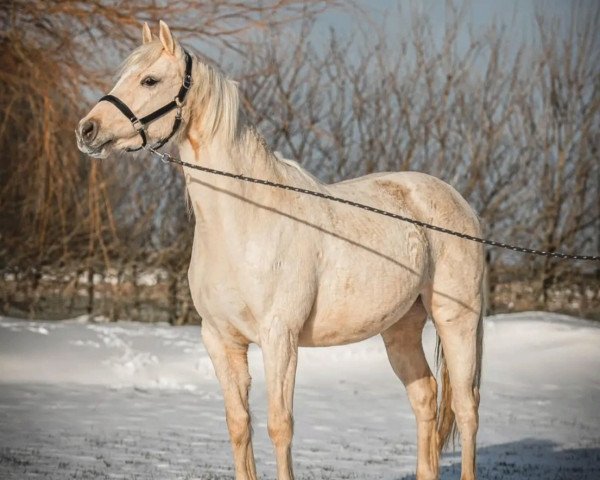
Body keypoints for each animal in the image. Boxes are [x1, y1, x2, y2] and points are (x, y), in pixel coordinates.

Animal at [77, 20, 486, 478]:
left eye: (150, 79)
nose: (87, 130)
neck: (244, 223)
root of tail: (458, 203)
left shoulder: (279, 338)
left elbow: (279, 425)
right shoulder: (220, 340)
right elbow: (239, 424)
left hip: (456, 319)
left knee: (466, 407)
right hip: (400, 327)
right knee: (426, 396)